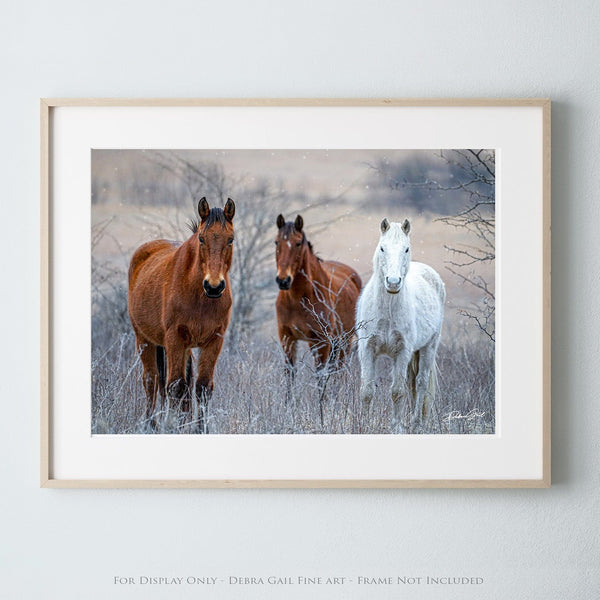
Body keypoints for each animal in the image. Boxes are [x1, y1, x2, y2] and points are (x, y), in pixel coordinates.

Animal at [127, 197, 236, 426]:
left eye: (230, 239)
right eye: (201, 239)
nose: (214, 287)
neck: (200, 298)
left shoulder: (214, 341)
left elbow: (202, 387)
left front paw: (198, 429)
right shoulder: (174, 339)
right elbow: (175, 386)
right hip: (144, 339)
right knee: (151, 380)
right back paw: (151, 425)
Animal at [276, 213, 360, 378]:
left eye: (298, 243)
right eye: (276, 242)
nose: (283, 280)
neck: (298, 299)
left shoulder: (321, 341)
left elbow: (320, 377)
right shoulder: (287, 338)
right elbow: (290, 375)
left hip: (344, 341)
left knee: (338, 372)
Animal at [356, 219, 446, 432]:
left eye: (406, 249)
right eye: (382, 248)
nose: (393, 282)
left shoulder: (402, 352)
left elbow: (397, 391)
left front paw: (396, 427)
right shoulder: (367, 350)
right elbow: (367, 390)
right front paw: (363, 425)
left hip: (429, 347)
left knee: (420, 383)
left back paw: (415, 423)